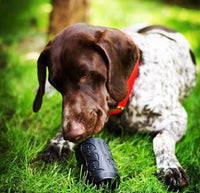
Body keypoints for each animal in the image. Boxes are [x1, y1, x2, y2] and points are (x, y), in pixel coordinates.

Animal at [32, 23, 197, 190]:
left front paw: (170, 166)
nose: (71, 134)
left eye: (85, 74)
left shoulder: (178, 117)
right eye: (56, 83)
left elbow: (162, 139)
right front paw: (59, 142)